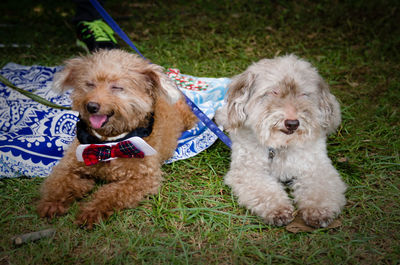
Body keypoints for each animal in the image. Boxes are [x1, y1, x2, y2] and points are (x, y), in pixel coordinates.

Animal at [216, 54, 346, 226]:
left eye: (304, 94)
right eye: (273, 92)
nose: (292, 123)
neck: (281, 145)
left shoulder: (317, 167)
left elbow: (321, 189)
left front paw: (319, 211)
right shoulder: (247, 171)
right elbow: (265, 191)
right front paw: (278, 210)